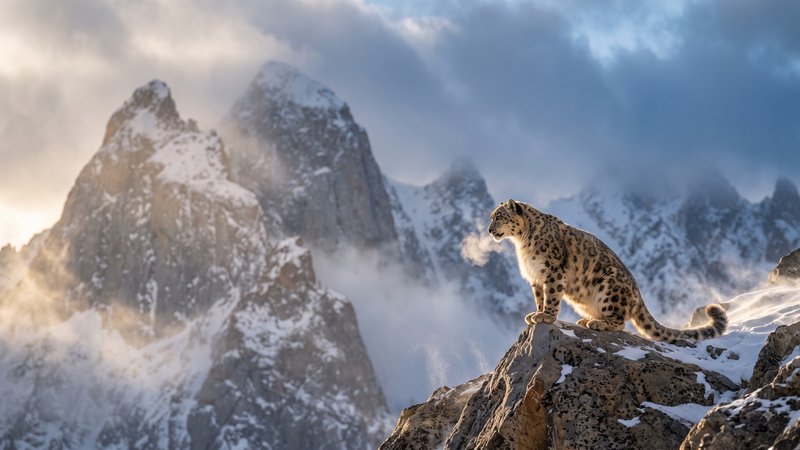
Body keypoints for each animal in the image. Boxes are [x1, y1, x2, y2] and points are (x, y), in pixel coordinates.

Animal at [488, 199, 727, 343]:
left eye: (498, 216)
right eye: (492, 217)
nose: (489, 230)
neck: (522, 243)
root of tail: (638, 296)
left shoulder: (553, 272)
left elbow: (552, 296)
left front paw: (546, 316)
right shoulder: (536, 277)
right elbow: (540, 297)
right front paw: (535, 313)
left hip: (609, 286)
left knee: (620, 322)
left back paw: (596, 323)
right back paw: (586, 321)